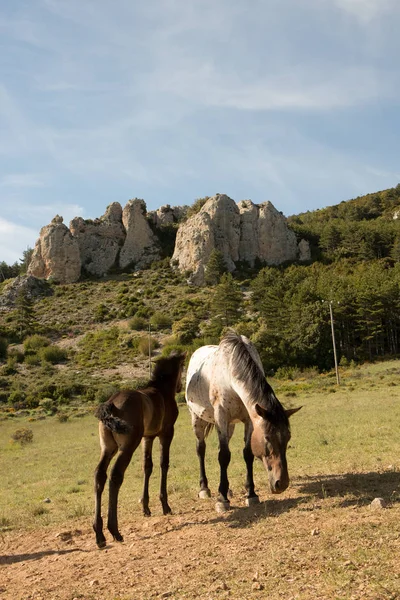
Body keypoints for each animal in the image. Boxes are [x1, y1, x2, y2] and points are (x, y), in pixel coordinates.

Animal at [93, 352, 185, 548]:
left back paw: (99, 534)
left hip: (108, 448)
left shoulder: (147, 438)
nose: (180, 387)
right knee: (115, 476)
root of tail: (111, 404)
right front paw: (165, 505)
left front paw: (146, 508)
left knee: (99, 475)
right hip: (127, 446)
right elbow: (163, 464)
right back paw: (115, 531)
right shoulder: (166, 433)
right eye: (183, 366)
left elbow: (147, 466)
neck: (161, 390)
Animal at [186, 332, 302, 510]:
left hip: (230, 426)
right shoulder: (221, 416)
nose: (281, 484)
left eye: (288, 438)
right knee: (201, 449)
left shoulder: (249, 420)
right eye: (267, 439)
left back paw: (228, 489)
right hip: (197, 419)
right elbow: (224, 456)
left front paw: (251, 493)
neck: (229, 374)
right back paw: (205, 489)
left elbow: (246, 454)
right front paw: (222, 499)